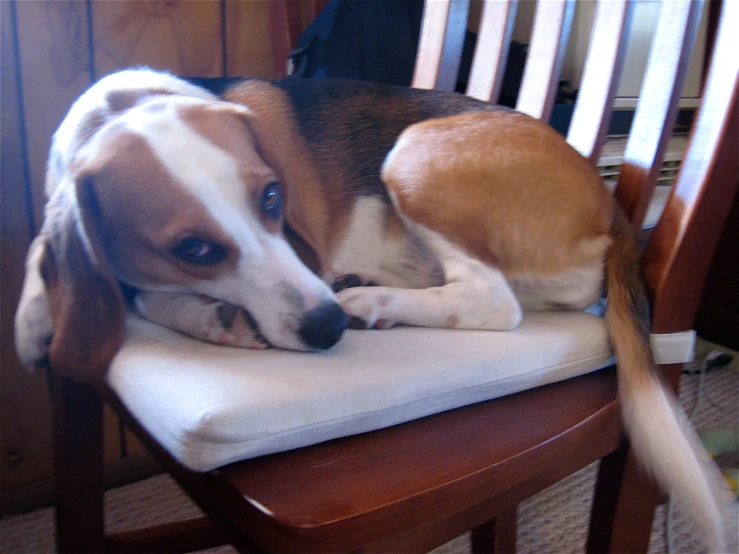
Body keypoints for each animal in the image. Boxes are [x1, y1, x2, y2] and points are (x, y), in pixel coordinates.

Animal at [11, 69, 728, 548]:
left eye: (273, 197)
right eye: (193, 248)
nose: (326, 327)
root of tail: (609, 204)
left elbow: (150, 296)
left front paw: (203, 315)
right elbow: (54, 254)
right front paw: (36, 313)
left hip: (415, 151)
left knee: (490, 301)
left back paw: (369, 300)